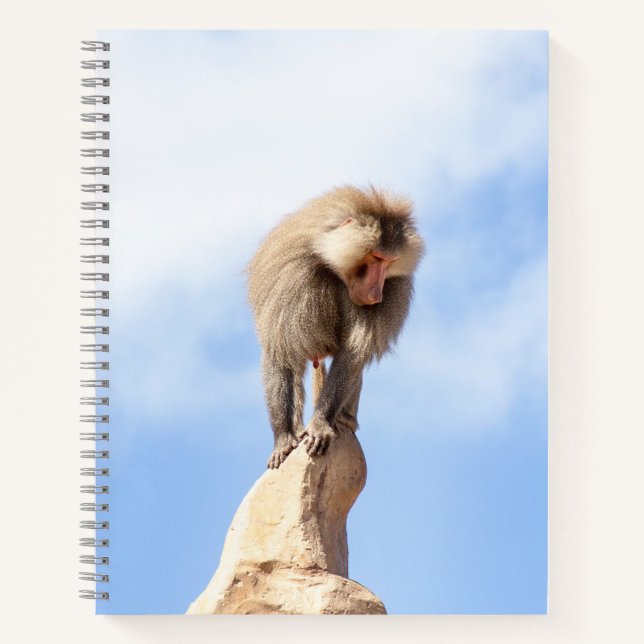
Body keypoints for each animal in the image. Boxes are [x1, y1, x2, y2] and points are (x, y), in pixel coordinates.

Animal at [247, 185, 424, 469]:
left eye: (389, 262)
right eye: (376, 257)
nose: (376, 295)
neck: (330, 262)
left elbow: (353, 355)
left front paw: (321, 425)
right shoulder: (291, 277)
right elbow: (280, 351)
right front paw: (283, 439)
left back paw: (343, 420)